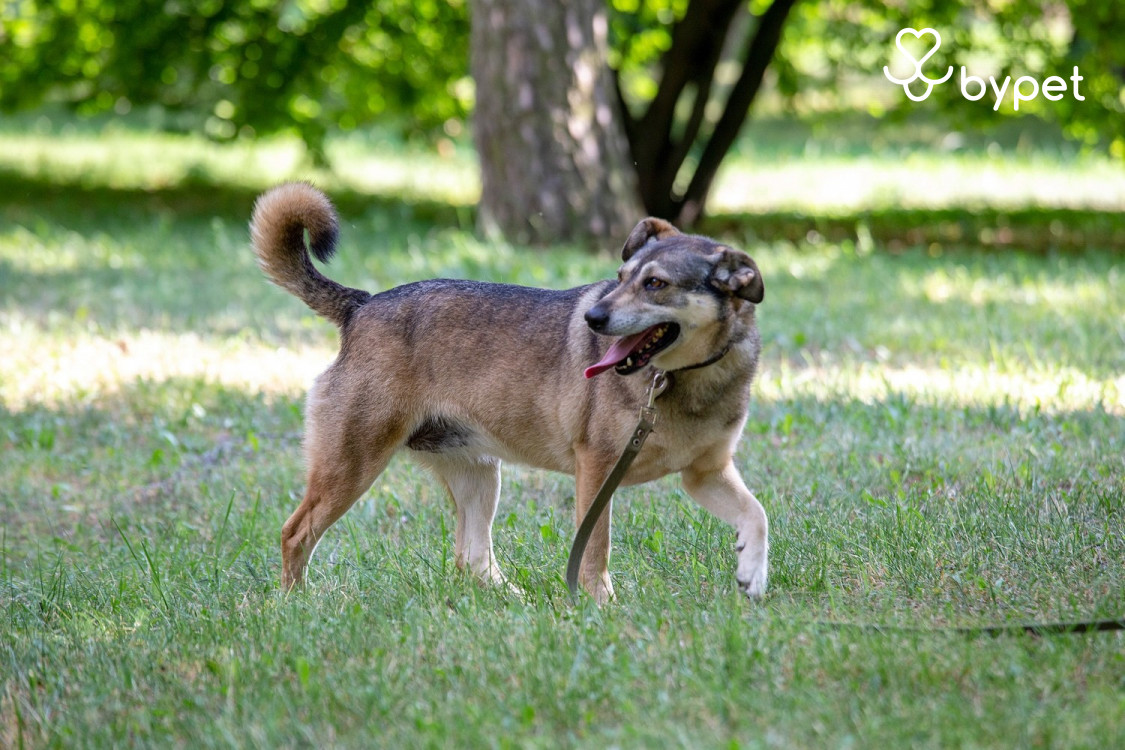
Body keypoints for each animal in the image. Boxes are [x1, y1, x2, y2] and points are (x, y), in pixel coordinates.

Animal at [250, 183, 769, 602]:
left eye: (656, 283)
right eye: (621, 278)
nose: (592, 318)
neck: (680, 381)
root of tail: (361, 306)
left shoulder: (705, 473)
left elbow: (757, 514)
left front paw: (753, 574)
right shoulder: (597, 469)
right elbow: (595, 548)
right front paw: (600, 606)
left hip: (478, 476)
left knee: (471, 559)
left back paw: (516, 601)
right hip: (352, 462)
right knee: (295, 533)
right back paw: (296, 603)